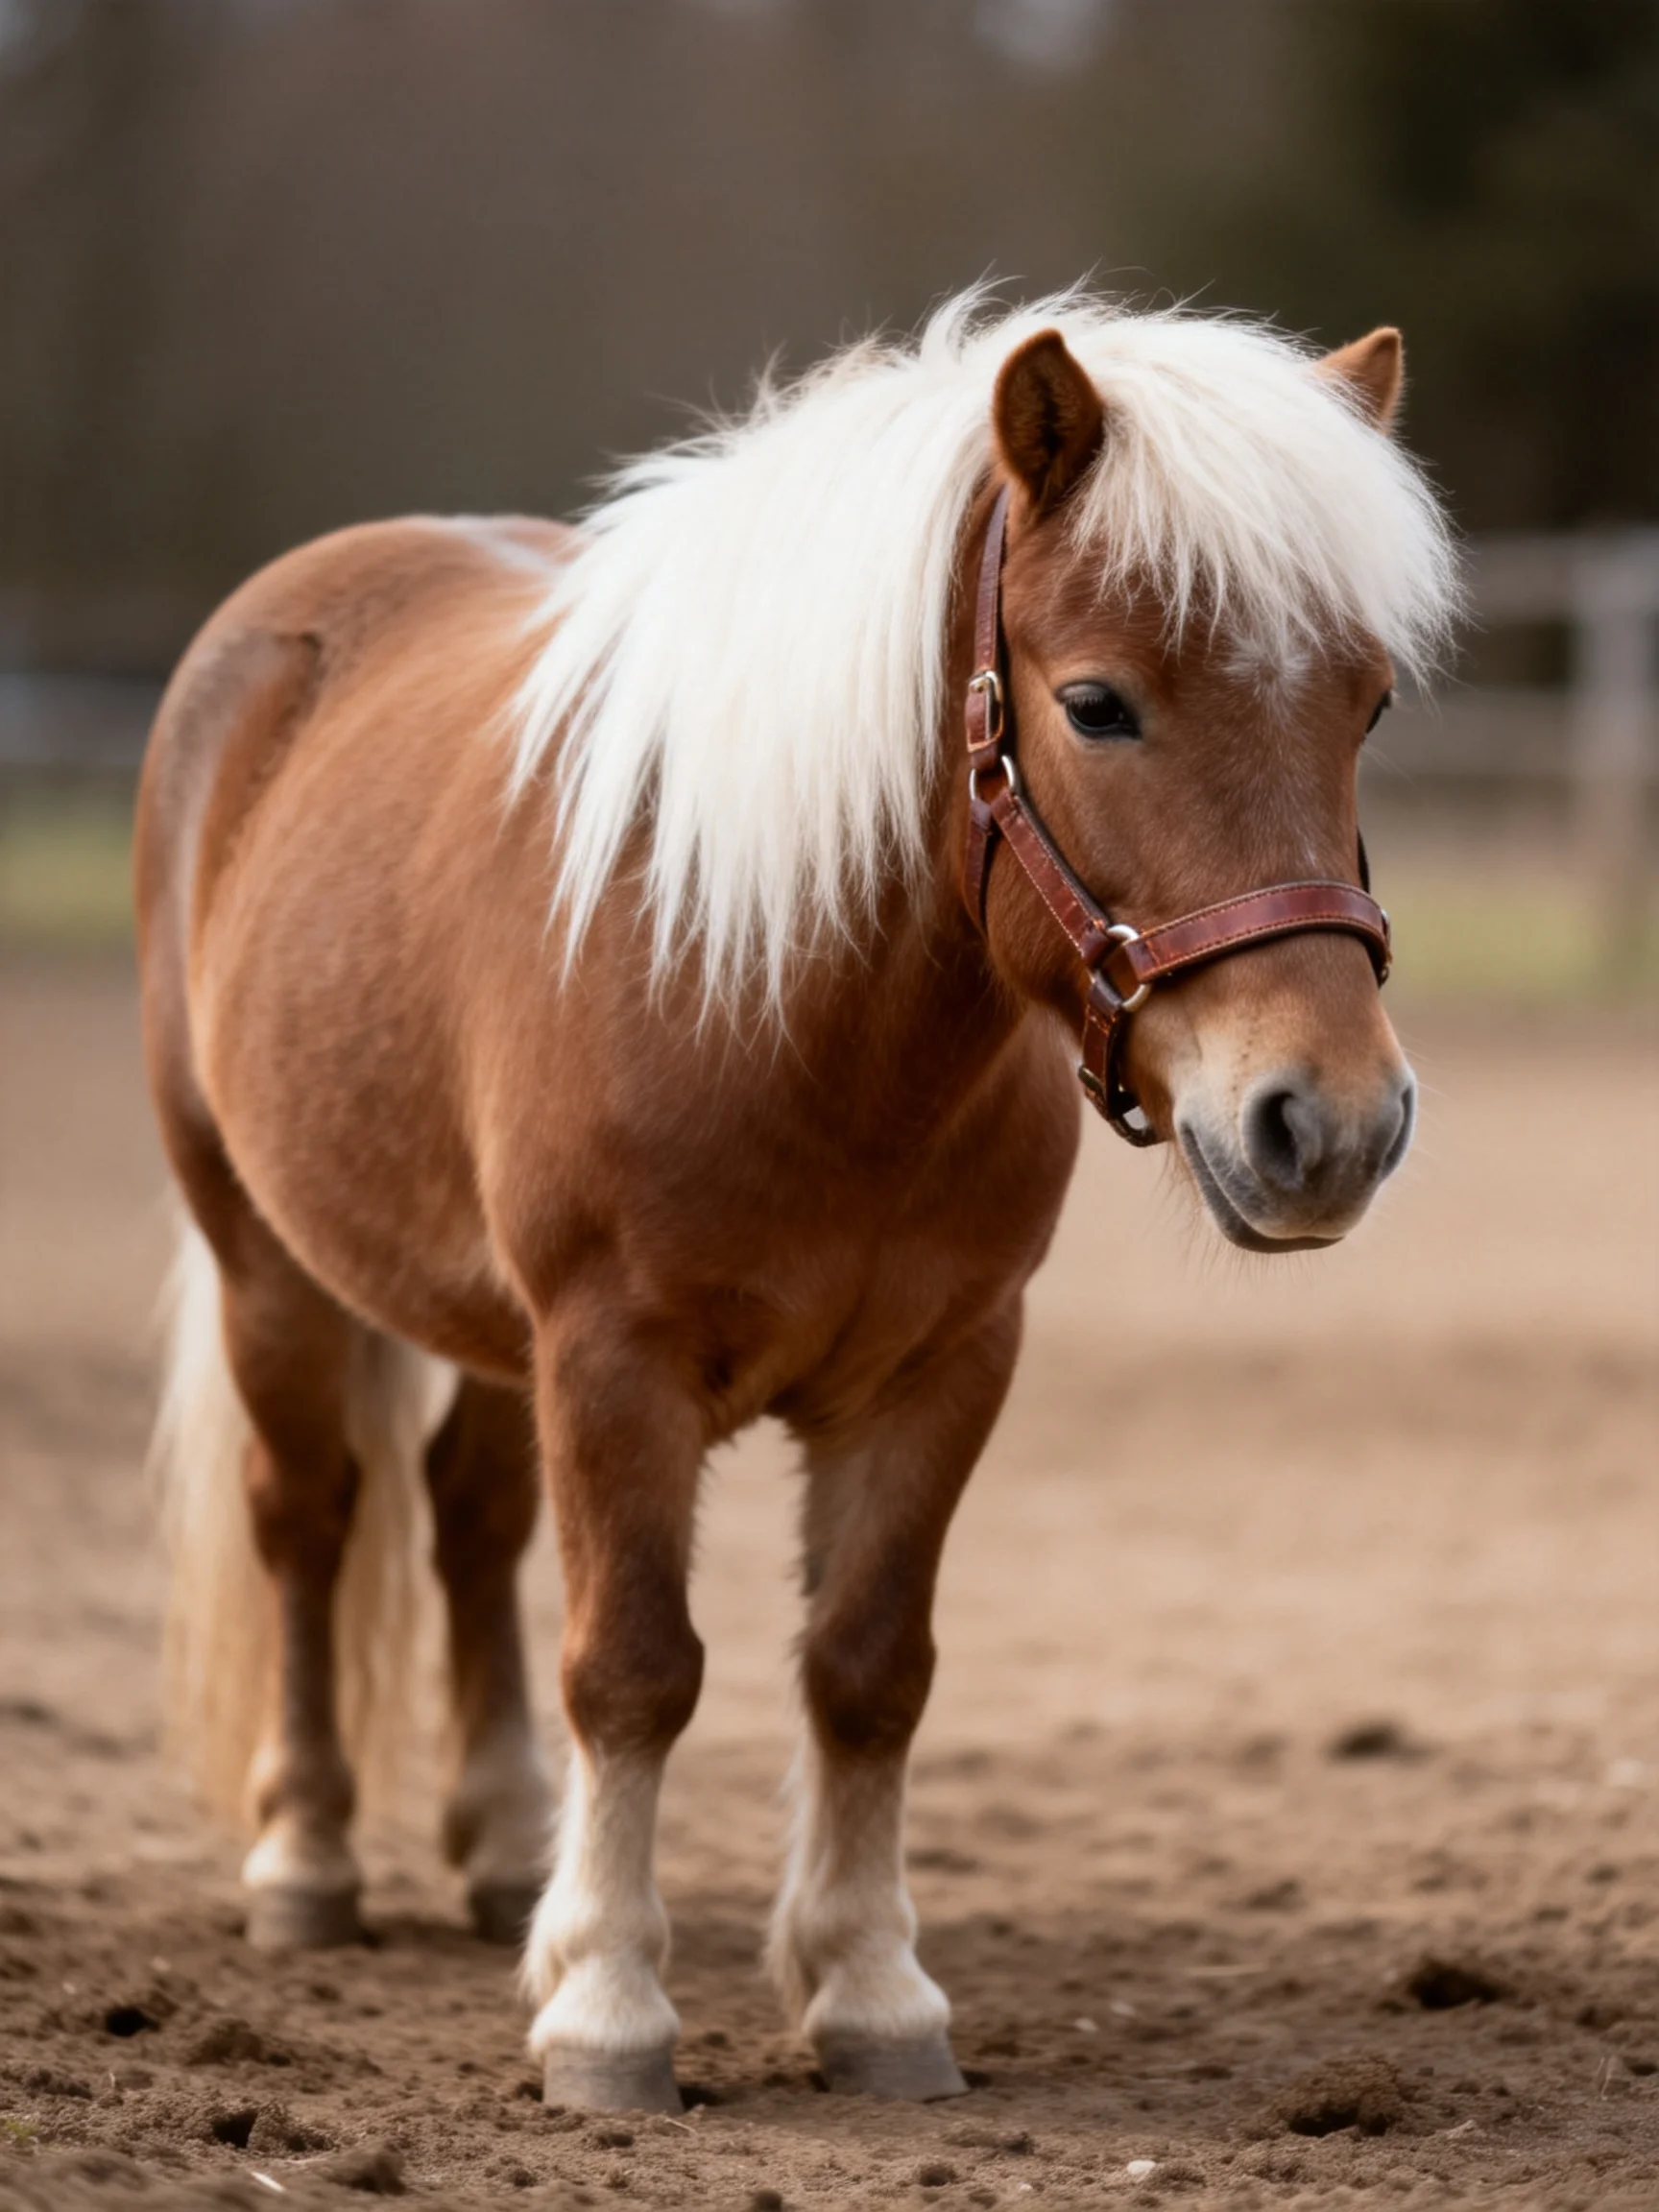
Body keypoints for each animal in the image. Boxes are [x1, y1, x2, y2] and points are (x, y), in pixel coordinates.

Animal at [137, 290, 1457, 2116]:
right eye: (1098, 704)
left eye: (1370, 704)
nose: (1324, 1126)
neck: (794, 1015)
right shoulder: (613, 1360)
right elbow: (633, 1665)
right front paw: (609, 2011)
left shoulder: (942, 1367)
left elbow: (866, 1667)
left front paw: (870, 1995)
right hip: (264, 1259)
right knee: (310, 1517)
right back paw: (309, 1863)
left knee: (470, 1526)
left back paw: (508, 1862)